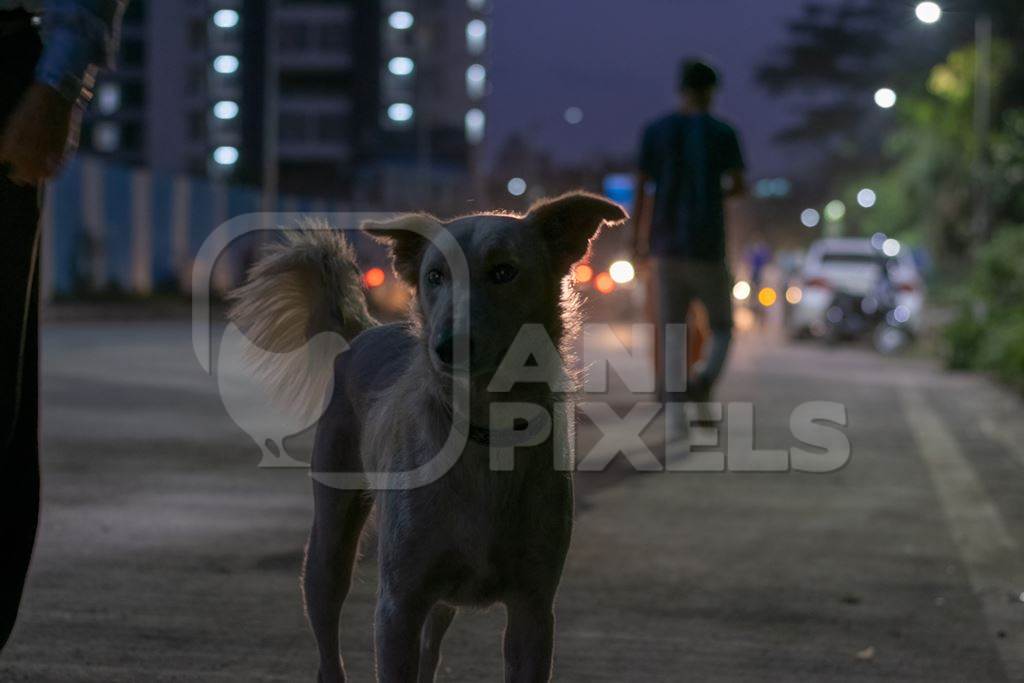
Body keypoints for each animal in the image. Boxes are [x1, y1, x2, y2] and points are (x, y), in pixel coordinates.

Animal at [228, 192, 626, 683]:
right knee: (328, 647)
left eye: (504, 271)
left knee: (429, 652)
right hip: (329, 550)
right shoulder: (398, 607)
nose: (448, 346)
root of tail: (364, 332)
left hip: (440, 601)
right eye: (435, 276)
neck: (484, 430)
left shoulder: (533, 612)